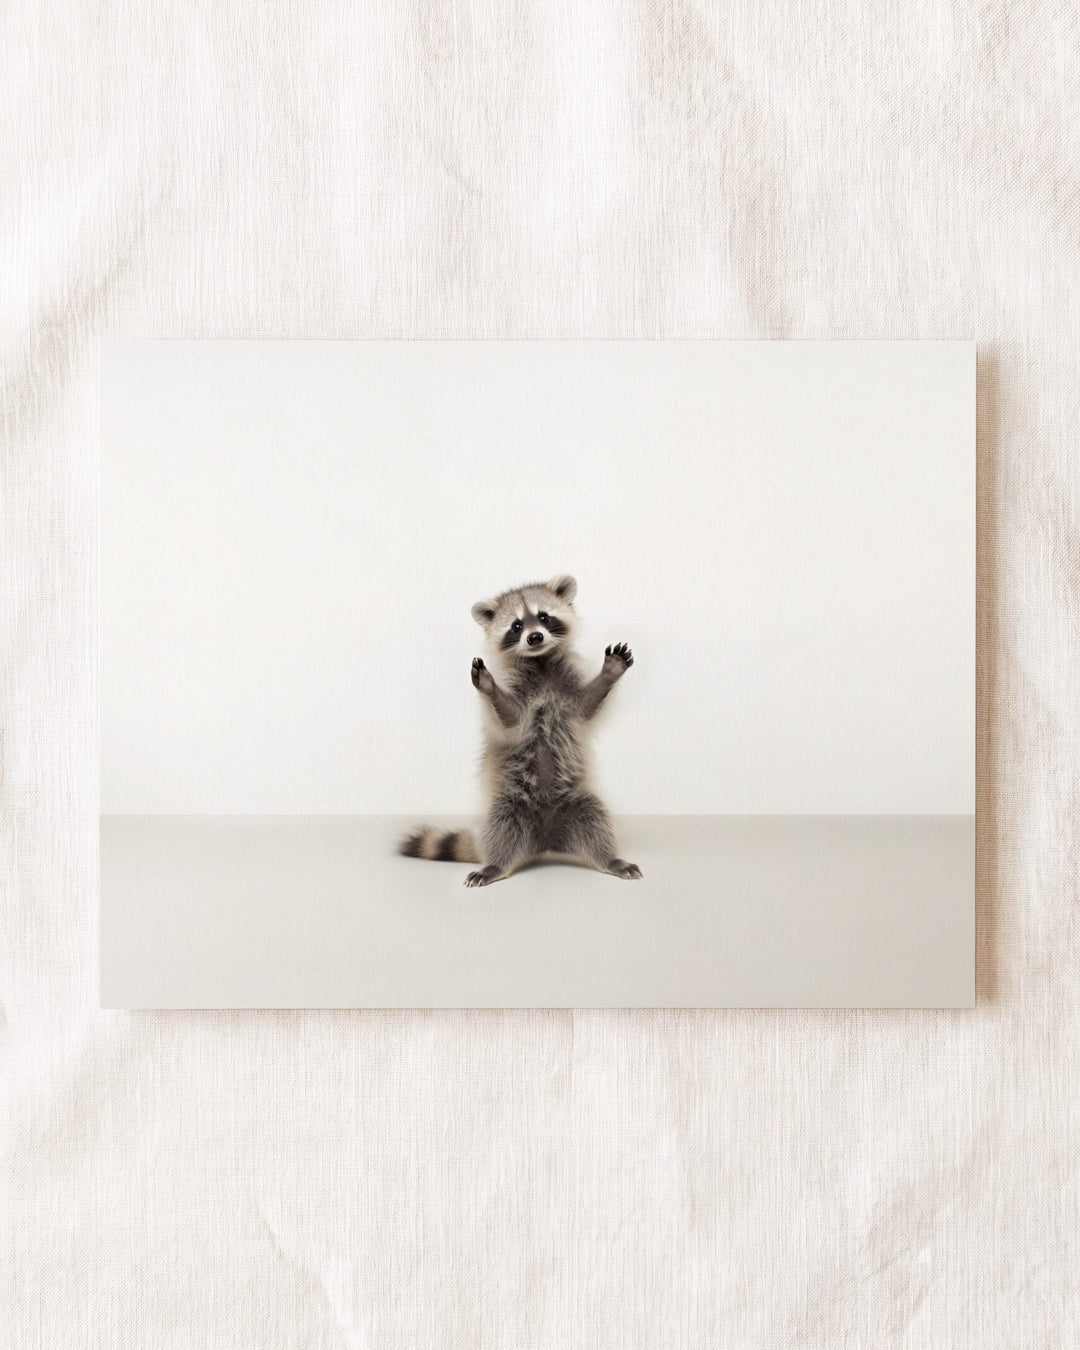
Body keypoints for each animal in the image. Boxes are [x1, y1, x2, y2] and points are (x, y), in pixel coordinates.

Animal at [399, 574, 642, 887]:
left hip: (577, 801)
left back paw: (610, 859)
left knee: (596, 818)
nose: (534, 637)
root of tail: (546, 841)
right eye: (516, 626)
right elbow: (512, 722)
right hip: (509, 804)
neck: (541, 662)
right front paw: (489, 687)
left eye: (544, 617)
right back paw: (496, 865)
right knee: (501, 827)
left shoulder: (569, 690)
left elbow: (587, 707)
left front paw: (609, 673)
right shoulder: (518, 695)